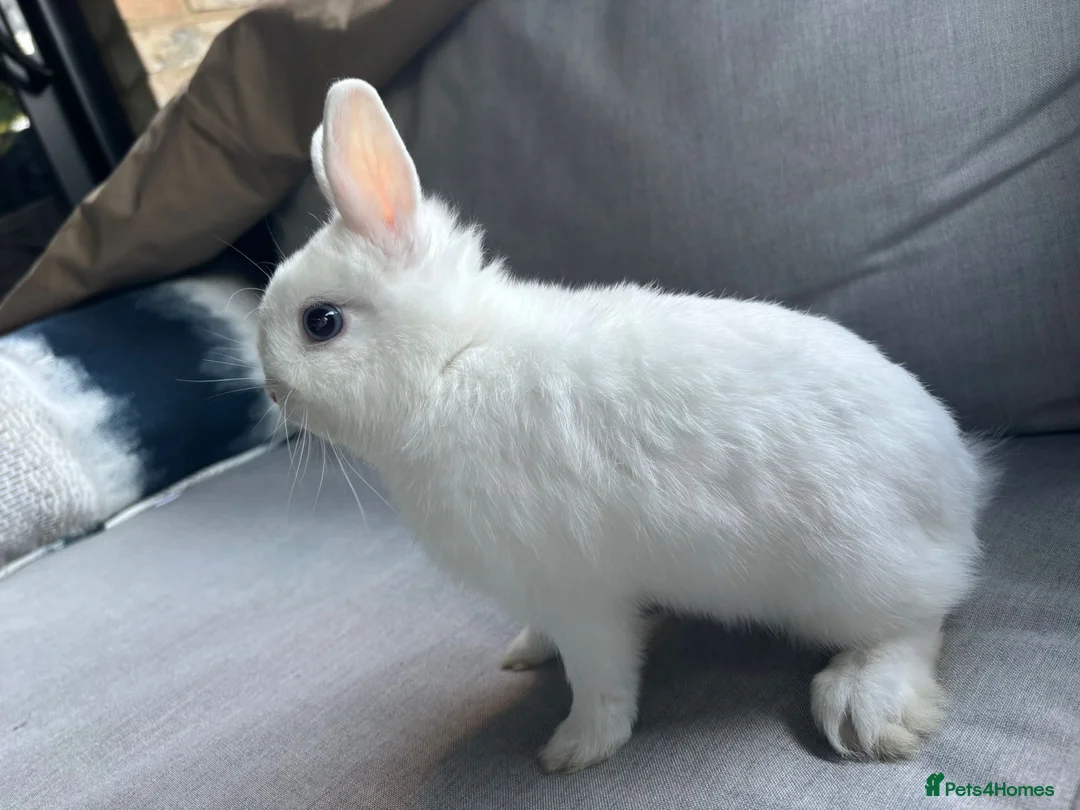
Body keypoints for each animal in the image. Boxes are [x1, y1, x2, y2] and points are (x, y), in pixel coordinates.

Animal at [256, 79, 995, 774]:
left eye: (320, 322)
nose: (269, 388)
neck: (453, 361)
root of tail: (961, 483)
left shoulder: (579, 594)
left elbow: (599, 677)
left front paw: (574, 751)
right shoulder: (545, 594)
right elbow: (550, 638)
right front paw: (524, 655)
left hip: (847, 582)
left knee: (920, 621)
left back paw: (863, 704)